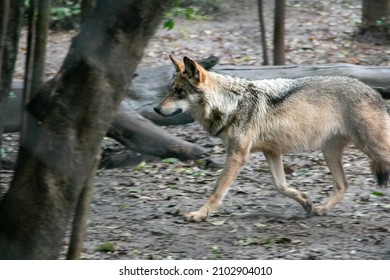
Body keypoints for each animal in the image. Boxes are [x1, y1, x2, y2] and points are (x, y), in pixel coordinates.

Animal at [154, 54, 388, 221]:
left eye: (179, 92)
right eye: (169, 90)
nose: (156, 109)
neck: (231, 105)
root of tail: (374, 91)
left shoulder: (238, 156)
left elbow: (216, 190)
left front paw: (200, 214)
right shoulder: (272, 152)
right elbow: (281, 186)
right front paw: (305, 201)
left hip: (372, 149)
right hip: (329, 153)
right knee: (343, 185)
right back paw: (321, 209)